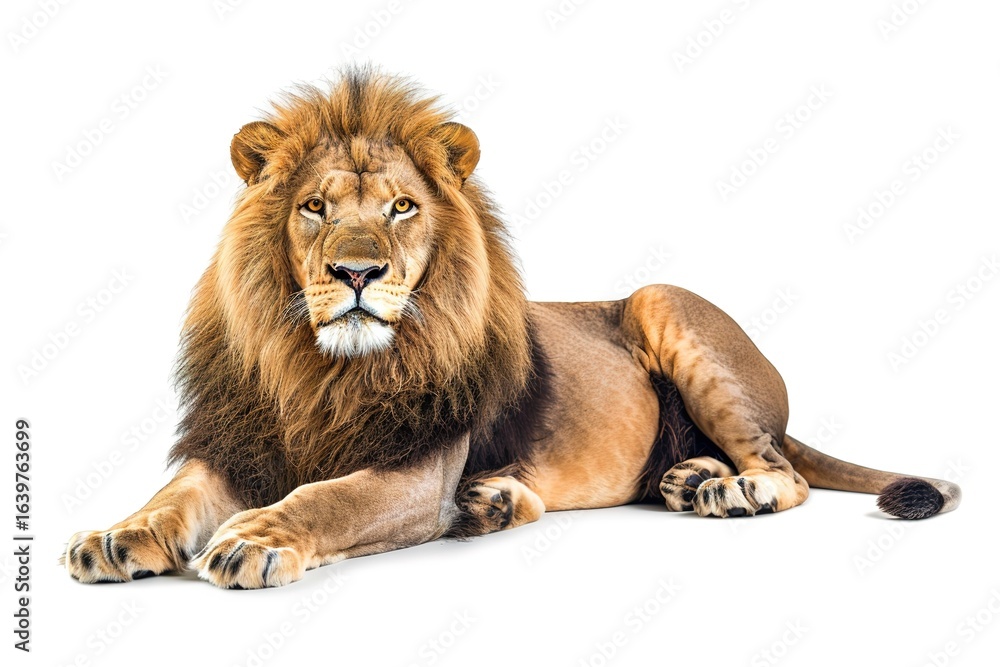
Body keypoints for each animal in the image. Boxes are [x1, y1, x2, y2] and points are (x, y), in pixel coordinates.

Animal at [63, 68, 961, 588]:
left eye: (402, 207)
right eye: (314, 206)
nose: (357, 273)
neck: (323, 371)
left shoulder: (415, 469)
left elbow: (329, 496)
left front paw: (255, 535)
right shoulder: (238, 441)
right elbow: (175, 493)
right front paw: (118, 532)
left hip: (662, 299)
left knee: (787, 471)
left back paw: (730, 487)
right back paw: (659, 483)